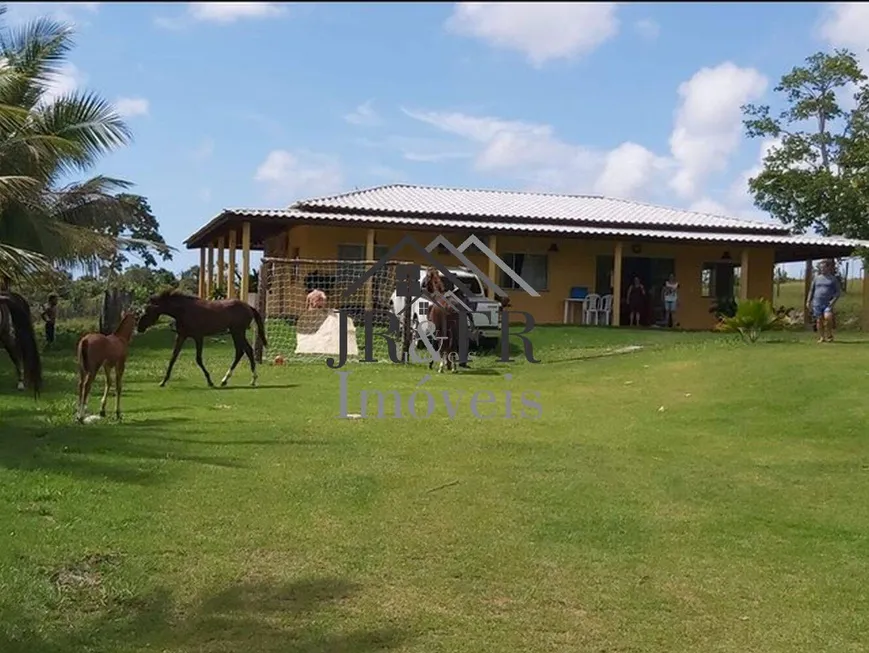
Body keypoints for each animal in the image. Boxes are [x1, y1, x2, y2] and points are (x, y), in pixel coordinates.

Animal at [136, 290, 268, 388]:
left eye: (148, 311)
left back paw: (249, 380)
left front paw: (210, 381)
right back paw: (229, 380)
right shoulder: (181, 336)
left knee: (245, 351)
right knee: (243, 351)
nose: (139, 328)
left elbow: (198, 359)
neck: (183, 310)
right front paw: (163, 381)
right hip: (236, 333)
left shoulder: (198, 337)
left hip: (238, 332)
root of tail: (248, 306)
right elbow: (173, 358)